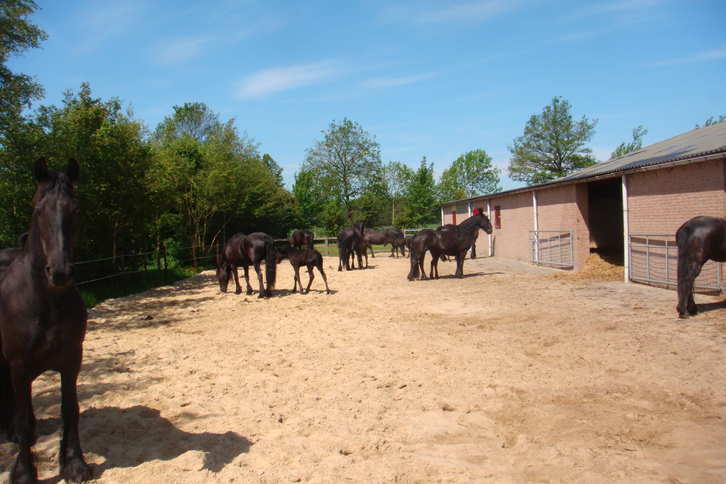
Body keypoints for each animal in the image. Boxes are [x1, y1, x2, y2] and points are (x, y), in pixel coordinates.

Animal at [0, 158, 92, 483]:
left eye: (76, 209)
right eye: (39, 209)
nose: (60, 272)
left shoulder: (72, 358)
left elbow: (70, 409)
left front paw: (74, 463)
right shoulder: (17, 365)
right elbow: (24, 421)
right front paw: (24, 473)